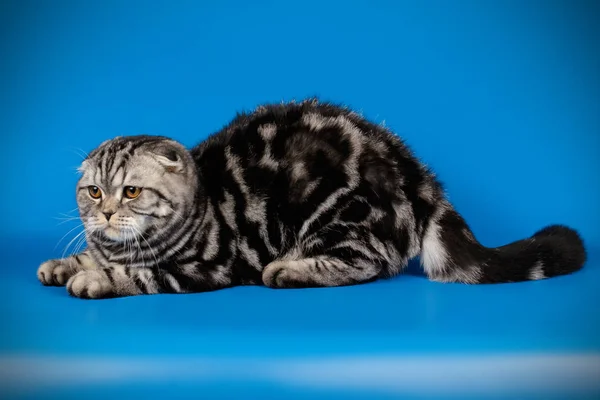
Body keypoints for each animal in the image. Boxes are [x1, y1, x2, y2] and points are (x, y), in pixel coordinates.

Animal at [36, 98, 584, 298]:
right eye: (93, 192)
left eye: (131, 191)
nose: (106, 213)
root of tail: (417, 174)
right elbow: (89, 254)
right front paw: (64, 263)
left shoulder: (205, 267)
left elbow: (138, 274)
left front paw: (94, 278)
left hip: (341, 214)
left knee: (368, 264)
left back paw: (289, 269)